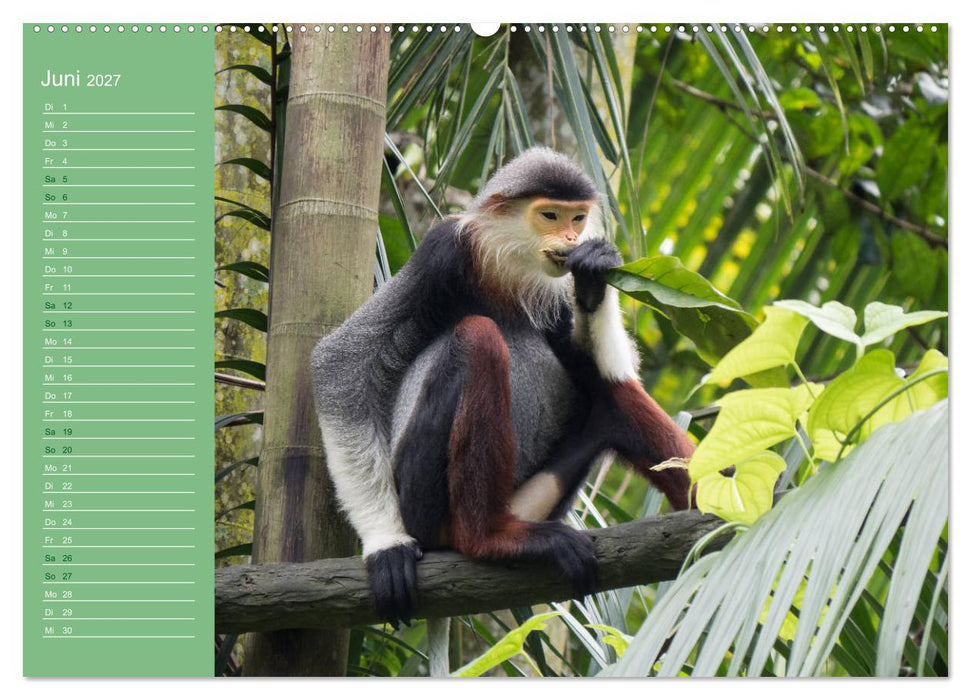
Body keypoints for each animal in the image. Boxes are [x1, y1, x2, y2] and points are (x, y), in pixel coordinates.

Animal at [311, 147, 695, 634]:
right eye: (550, 216)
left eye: (577, 217)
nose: (572, 235)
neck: (507, 269)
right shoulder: (442, 251)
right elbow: (338, 362)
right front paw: (386, 545)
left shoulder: (554, 291)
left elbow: (605, 365)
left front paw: (594, 275)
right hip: (423, 500)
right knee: (479, 337)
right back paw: (489, 539)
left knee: (610, 395)